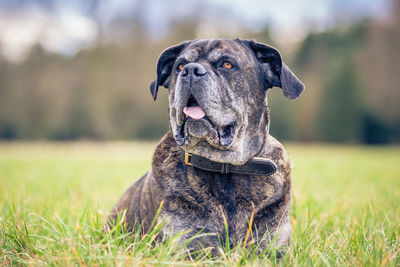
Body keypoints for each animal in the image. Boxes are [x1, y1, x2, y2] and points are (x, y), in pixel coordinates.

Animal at [108, 38, 304, 254]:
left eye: (227, 64)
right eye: (180, 66)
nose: (190, 70)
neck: (225, 169)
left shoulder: (274, 246)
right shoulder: (182, 245)